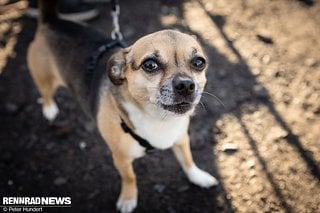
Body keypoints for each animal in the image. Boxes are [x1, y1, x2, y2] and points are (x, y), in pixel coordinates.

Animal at [26, 0, 218, 212]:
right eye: (150, 65)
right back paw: (49, 108)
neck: (158, 119)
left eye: (199, 62)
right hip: (44, 78)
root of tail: (52, 21)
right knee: (46, 93)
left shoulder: (181, 138)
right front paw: (128, 199)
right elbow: (130, 178)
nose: (186, 85)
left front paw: (198, 177)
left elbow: (188, 160)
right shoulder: (121, 158)